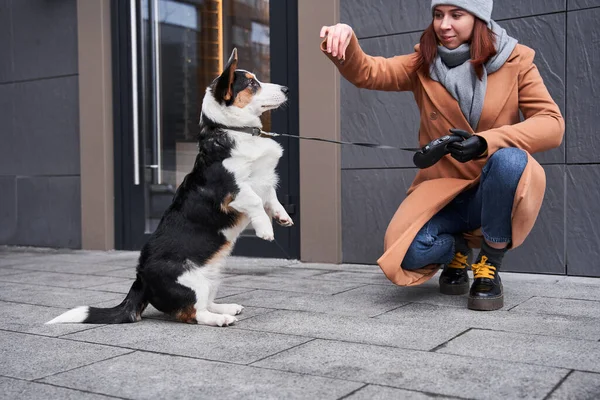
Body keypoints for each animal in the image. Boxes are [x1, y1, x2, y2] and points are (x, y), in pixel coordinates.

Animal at [48, 48, 292, 326]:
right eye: (252, 83)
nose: (286, 89)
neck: (235, 130)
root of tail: (140, 281)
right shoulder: (233, 191)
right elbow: (255, 201)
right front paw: (266, 230)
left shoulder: (264, 179)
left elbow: (271, 198)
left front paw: (283, 217)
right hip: (191, 283)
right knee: (195, 313)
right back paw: (221, 319)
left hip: (213, 277)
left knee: (205, 304)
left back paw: (226, 308)